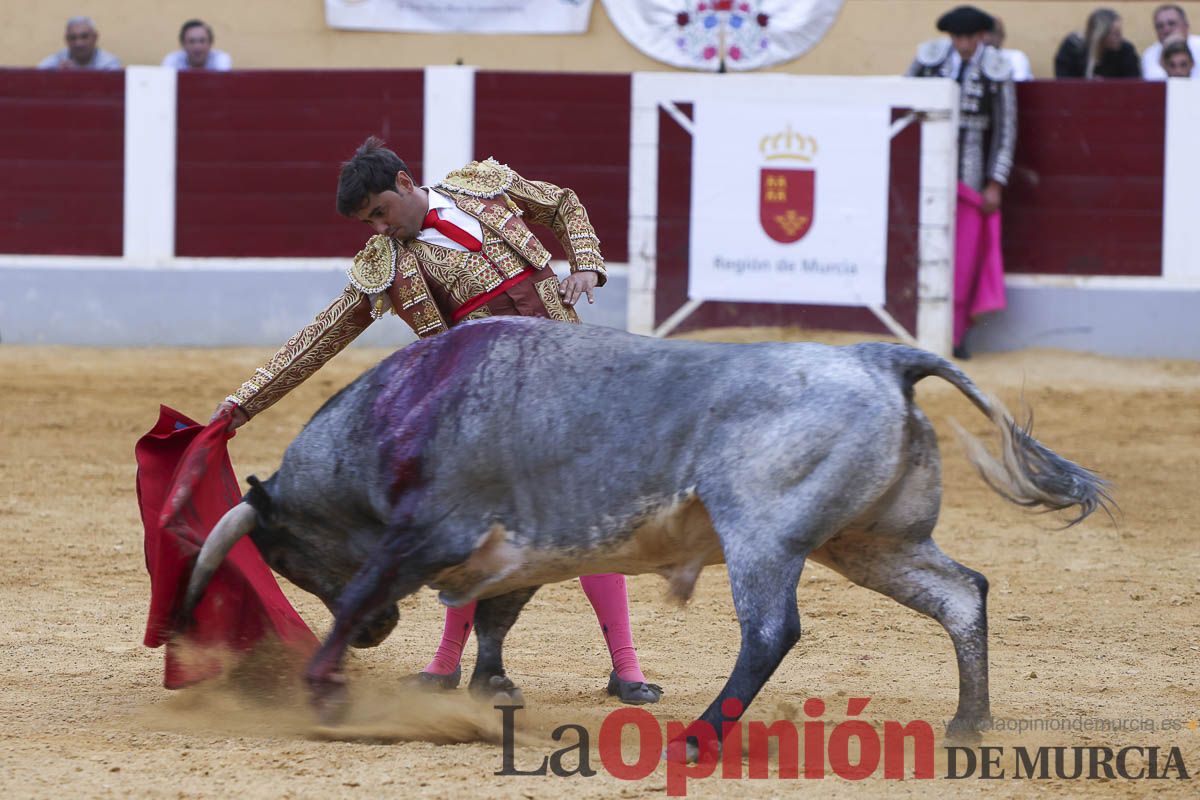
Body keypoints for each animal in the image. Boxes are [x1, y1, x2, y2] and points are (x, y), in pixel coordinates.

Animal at [182, 316, 1108, 743]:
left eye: (285, 553)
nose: (382, 635)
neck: (394, 415)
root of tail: (879, 358)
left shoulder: (428, 536)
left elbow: (363, 595)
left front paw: (325, 690)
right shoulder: (506, 554)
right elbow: (491, 616)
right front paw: (479, 688)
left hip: (763, 534)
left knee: (771, 629)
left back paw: (700, 735)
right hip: (870, 543)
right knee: (960, 594)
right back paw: (967, 723)